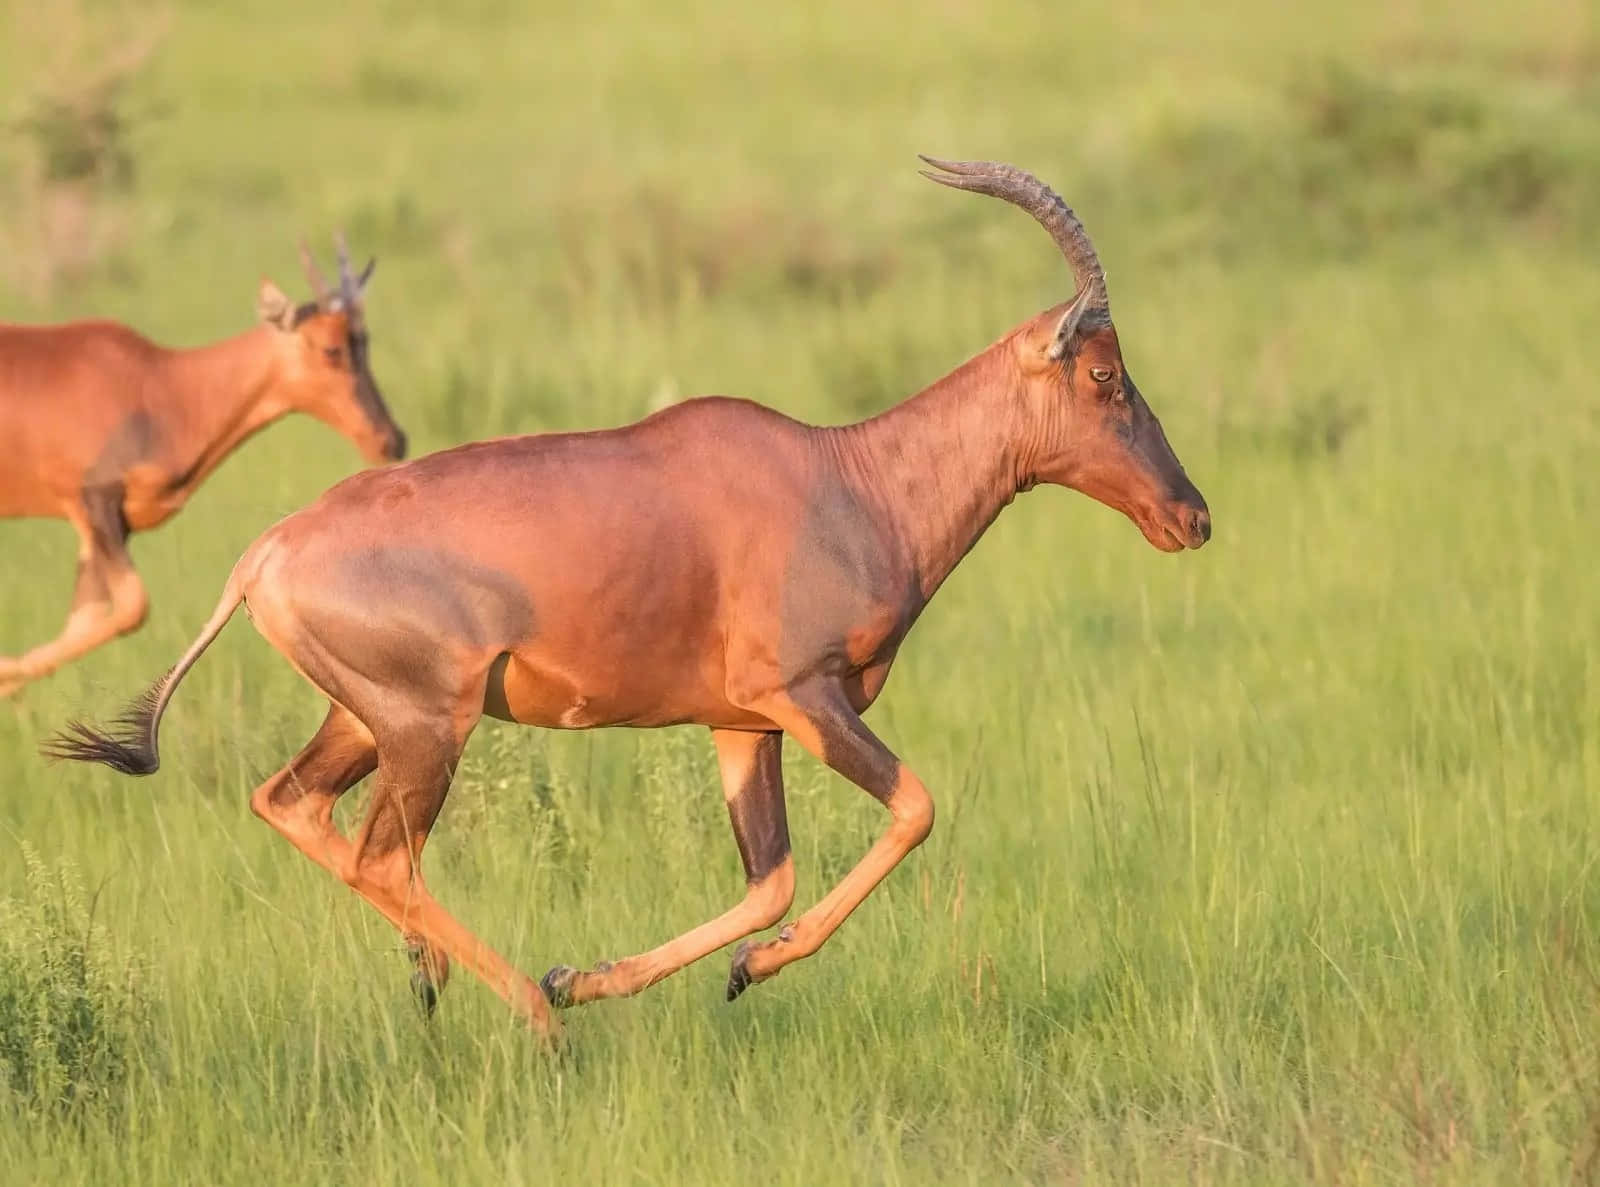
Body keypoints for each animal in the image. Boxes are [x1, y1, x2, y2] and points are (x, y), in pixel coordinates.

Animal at [0, 241, 406, 700]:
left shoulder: (100, 524)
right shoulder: (95, 500)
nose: (391, 440)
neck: (162, 386)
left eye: (364, 341)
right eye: (330, 348)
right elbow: (132, 607)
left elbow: (85, 618)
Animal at [43, 160, 1203, 1043]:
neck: (848, 475)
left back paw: (449, 975)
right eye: (1102, 372)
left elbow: (770, 880)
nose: (1189, 516)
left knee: (294, 805)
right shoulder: (802, 697)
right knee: (382, 853)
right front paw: (622, 981)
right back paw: (528, 1010)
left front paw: (660, 972)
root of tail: (264, 552)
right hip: (427, 727)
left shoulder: (743, 724)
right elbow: (913, 806)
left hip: (362, 719)